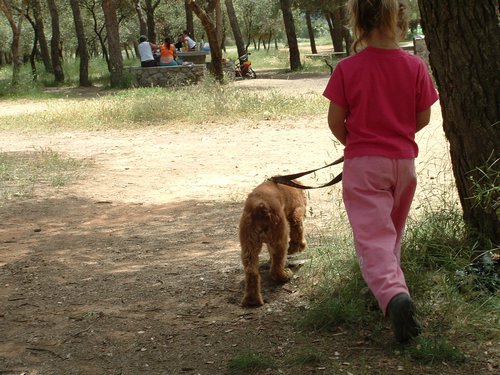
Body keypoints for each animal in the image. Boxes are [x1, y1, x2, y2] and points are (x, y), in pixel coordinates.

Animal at [237, 180, 304, 308]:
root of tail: (261, 206)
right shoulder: (296, 211)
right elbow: (298, 231)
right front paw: (298, 247)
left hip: (248, 245)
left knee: (251, 272)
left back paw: (252, 300)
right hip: (280, 237)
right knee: (276, 267)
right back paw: (284, 276)